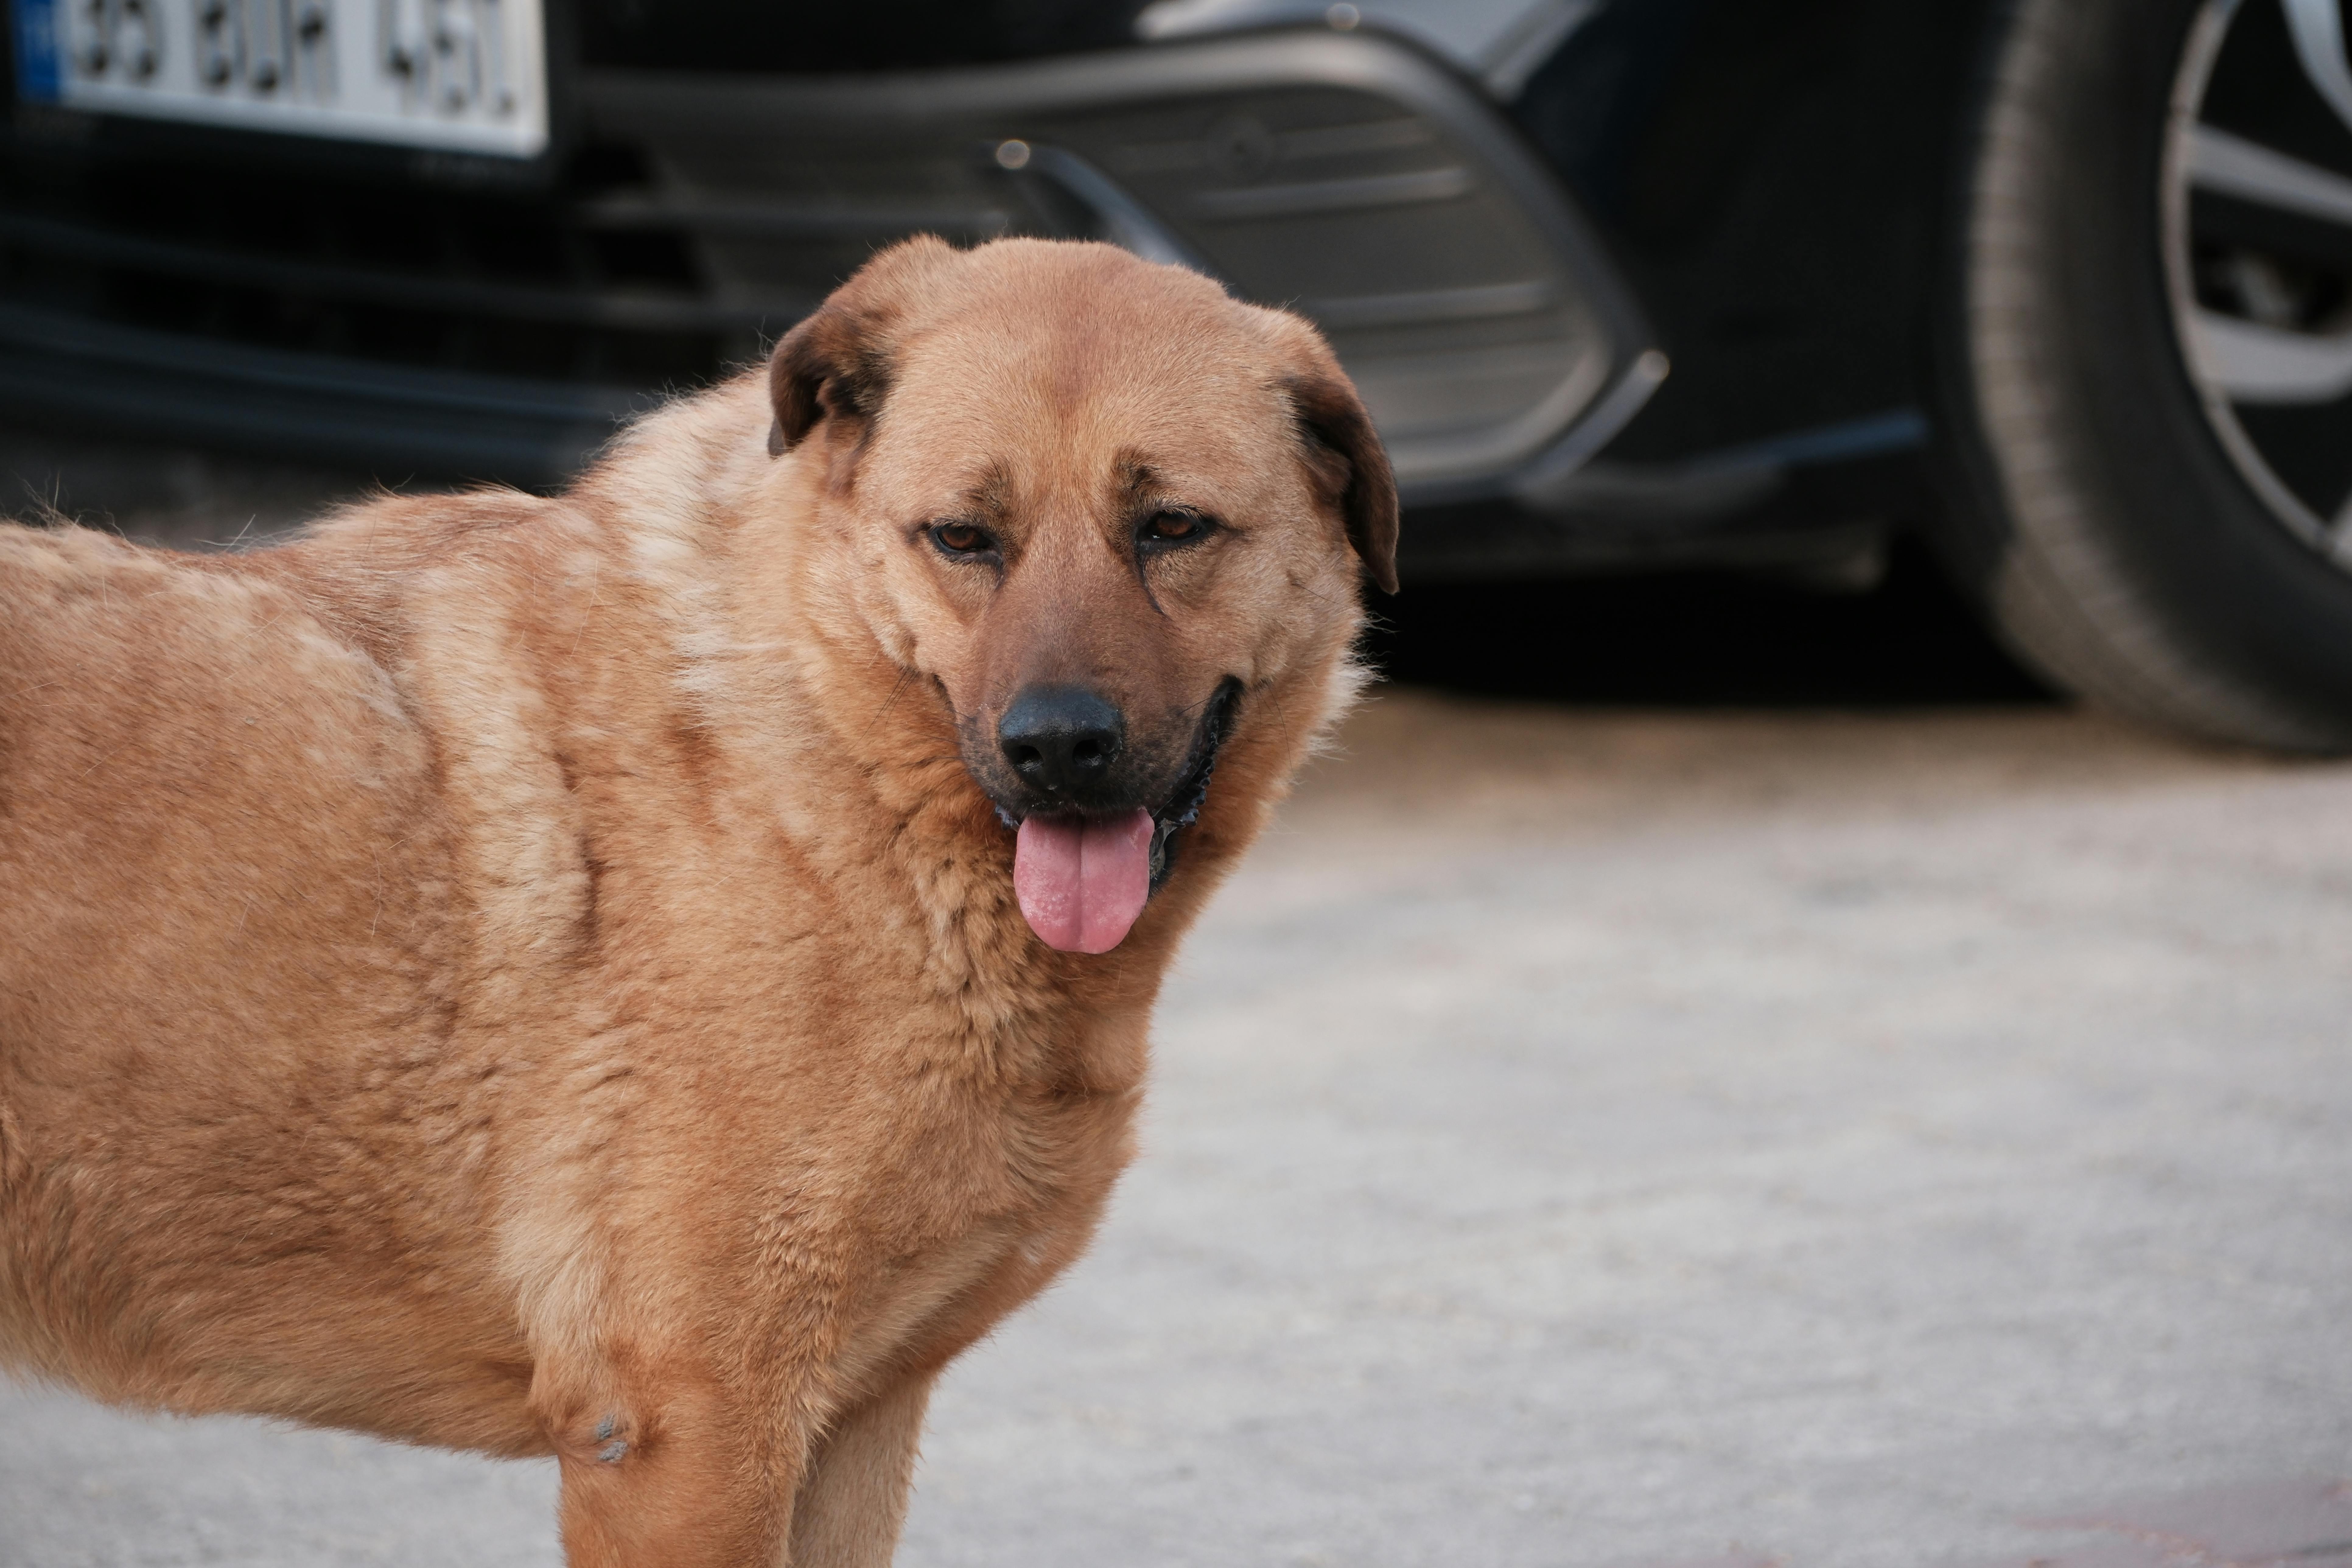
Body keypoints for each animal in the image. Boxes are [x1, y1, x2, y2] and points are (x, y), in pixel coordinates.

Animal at [0, 236, 1392, 1568]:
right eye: (962, 538)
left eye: (1172, 528)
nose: (1056, 747)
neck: (829, 767)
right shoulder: (691, 1442)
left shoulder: (847, 1427)